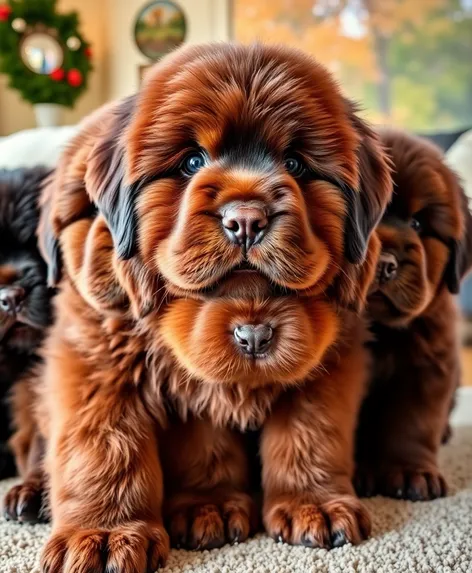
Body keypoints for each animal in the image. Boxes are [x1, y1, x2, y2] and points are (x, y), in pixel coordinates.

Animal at [35, 42, 392, 568]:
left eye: (297, 165)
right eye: (191, 162)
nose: (246, 219)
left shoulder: (329, 363)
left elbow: (312, 434)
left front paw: (314, 505)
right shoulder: (99, 364)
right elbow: (105, 446)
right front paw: (104, 534)